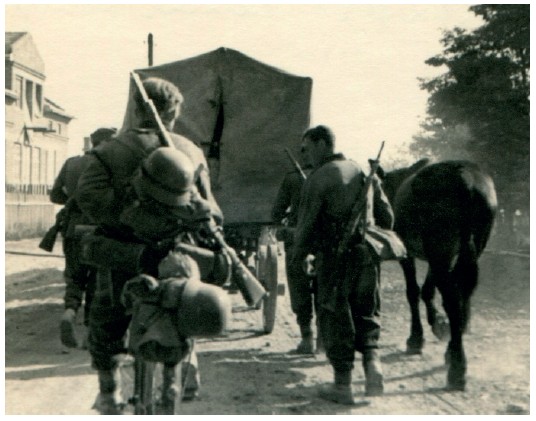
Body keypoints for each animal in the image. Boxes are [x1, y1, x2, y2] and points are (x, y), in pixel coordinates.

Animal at [377, 159, 497, 391]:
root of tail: (469, 184)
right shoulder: (440, 259)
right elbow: (427, 291)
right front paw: (438, 325)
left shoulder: (409, 254)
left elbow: (414, 292)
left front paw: (416, 337)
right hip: (465, 251)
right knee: (462, 295)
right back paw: (452, 349)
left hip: (440, 252)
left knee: (452, 301)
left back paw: (457, 368)